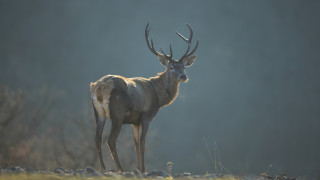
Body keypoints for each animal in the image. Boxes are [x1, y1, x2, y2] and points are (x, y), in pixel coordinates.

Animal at [90, 22, 199, 173]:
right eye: (171, 67)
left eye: (184, 67)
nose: (183, 76)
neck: (158, 96)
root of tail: (99, 88)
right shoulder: (146, 115)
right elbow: (142, 143)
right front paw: (143, 170)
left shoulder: (134, 121)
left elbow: (135, 144)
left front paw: (138, 169)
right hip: (117, 113)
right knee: (110, 140)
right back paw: (120, 169)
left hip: (98, 112)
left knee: (97, 139)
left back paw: (103, 168)